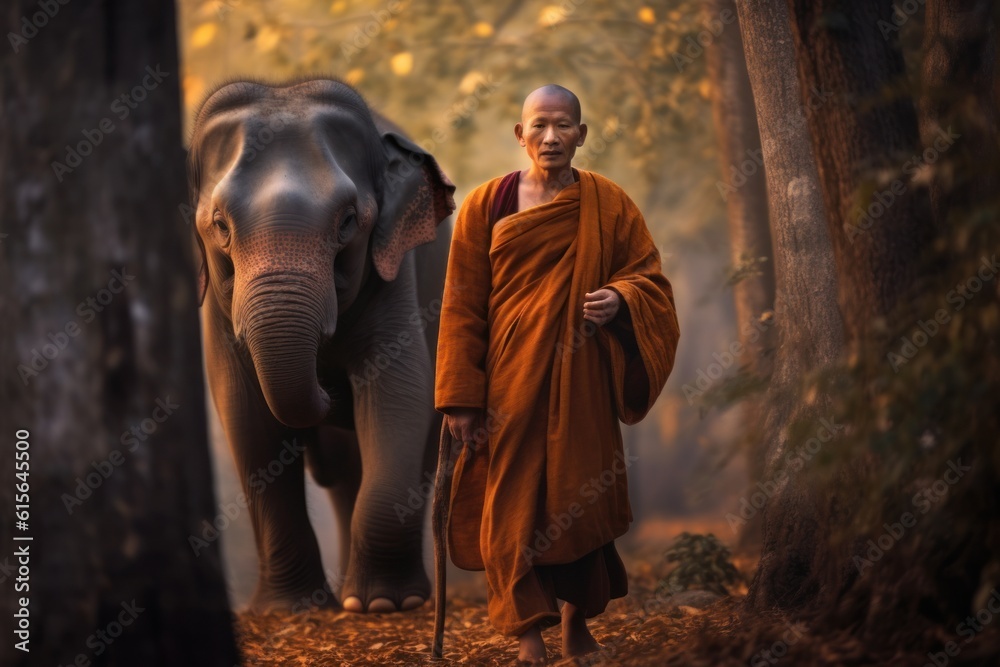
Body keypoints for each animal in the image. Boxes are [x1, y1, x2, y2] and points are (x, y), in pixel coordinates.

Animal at [186, 78, 456, 616]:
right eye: (220, 225)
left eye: (349, 220)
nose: (331, 388)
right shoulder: (217, 312)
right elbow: (246, 416)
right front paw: (287, 609)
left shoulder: (395, 276)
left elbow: (398, 394)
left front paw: (383, 605)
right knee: (342, 472)